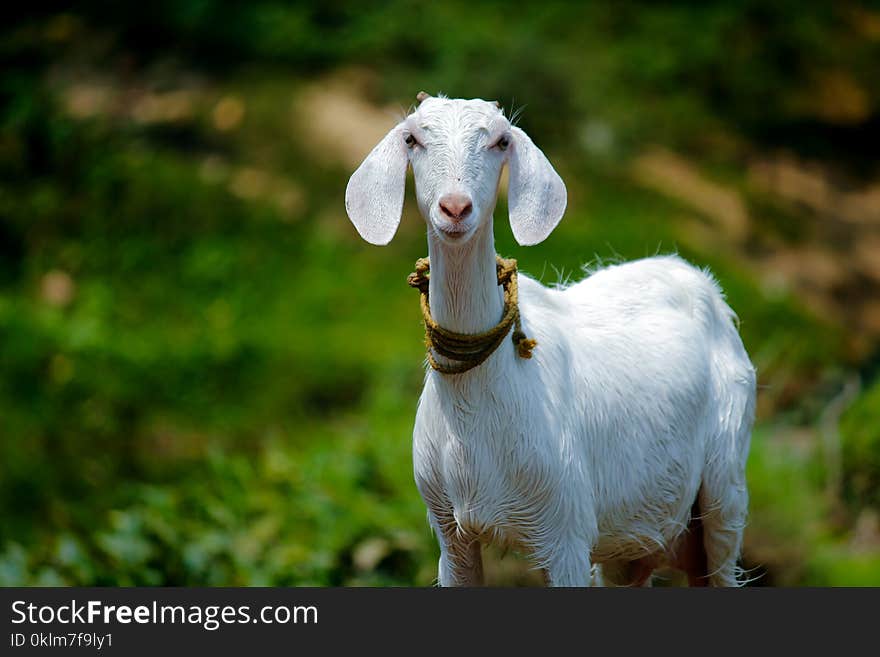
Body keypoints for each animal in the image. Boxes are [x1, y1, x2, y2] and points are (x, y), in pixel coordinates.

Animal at [344, 92, 756, 584]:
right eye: (412, 138)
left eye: (501, 140)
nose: (455, 208)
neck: (479, 404)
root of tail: (698, 278)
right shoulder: (450, 532)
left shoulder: (566, 533)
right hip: (634, 540)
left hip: (725, 488)